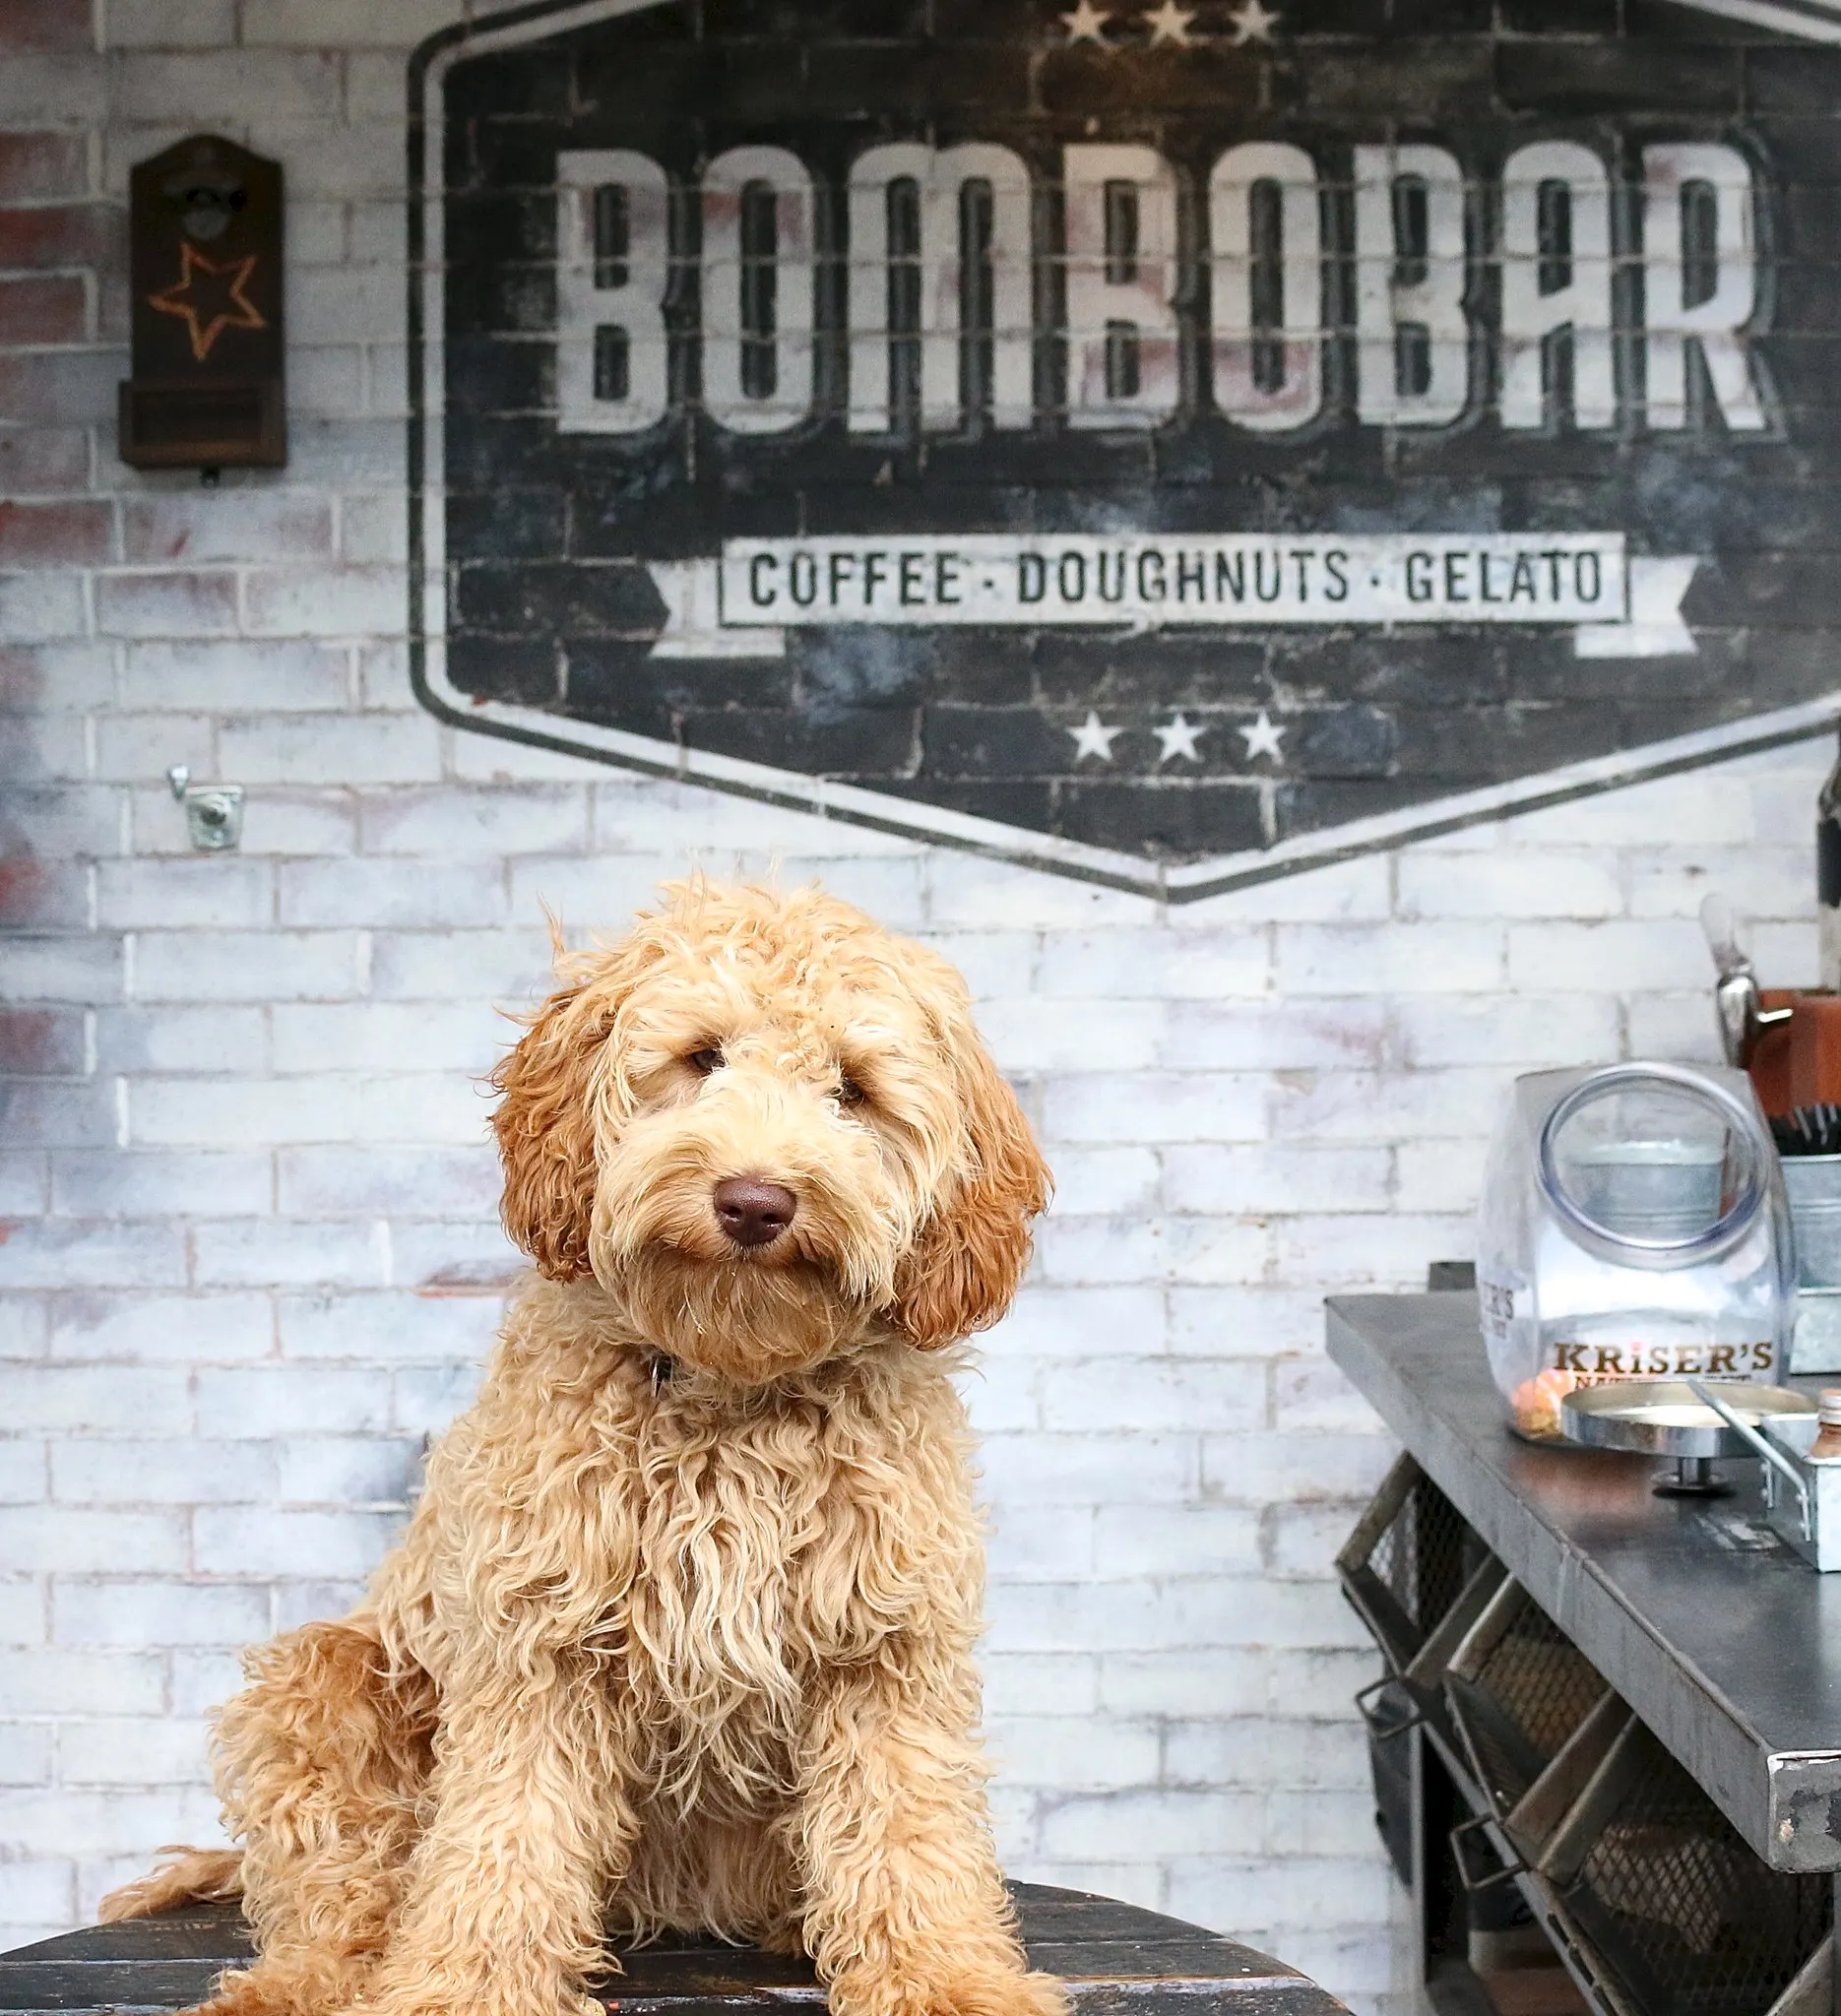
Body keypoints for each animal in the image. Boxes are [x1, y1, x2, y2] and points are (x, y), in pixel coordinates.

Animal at [107, 878, 1064, 2016]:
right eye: (701, 1056)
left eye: (853, 1089)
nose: (755, 1201)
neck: (725, 1385)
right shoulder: (537, 1645)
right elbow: (507, 1834)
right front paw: (469, 1987)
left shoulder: (886, 1649)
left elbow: (908, 1827)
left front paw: (945, 1976)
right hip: (327, 1681)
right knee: (336, 1898)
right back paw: (297, 1980)